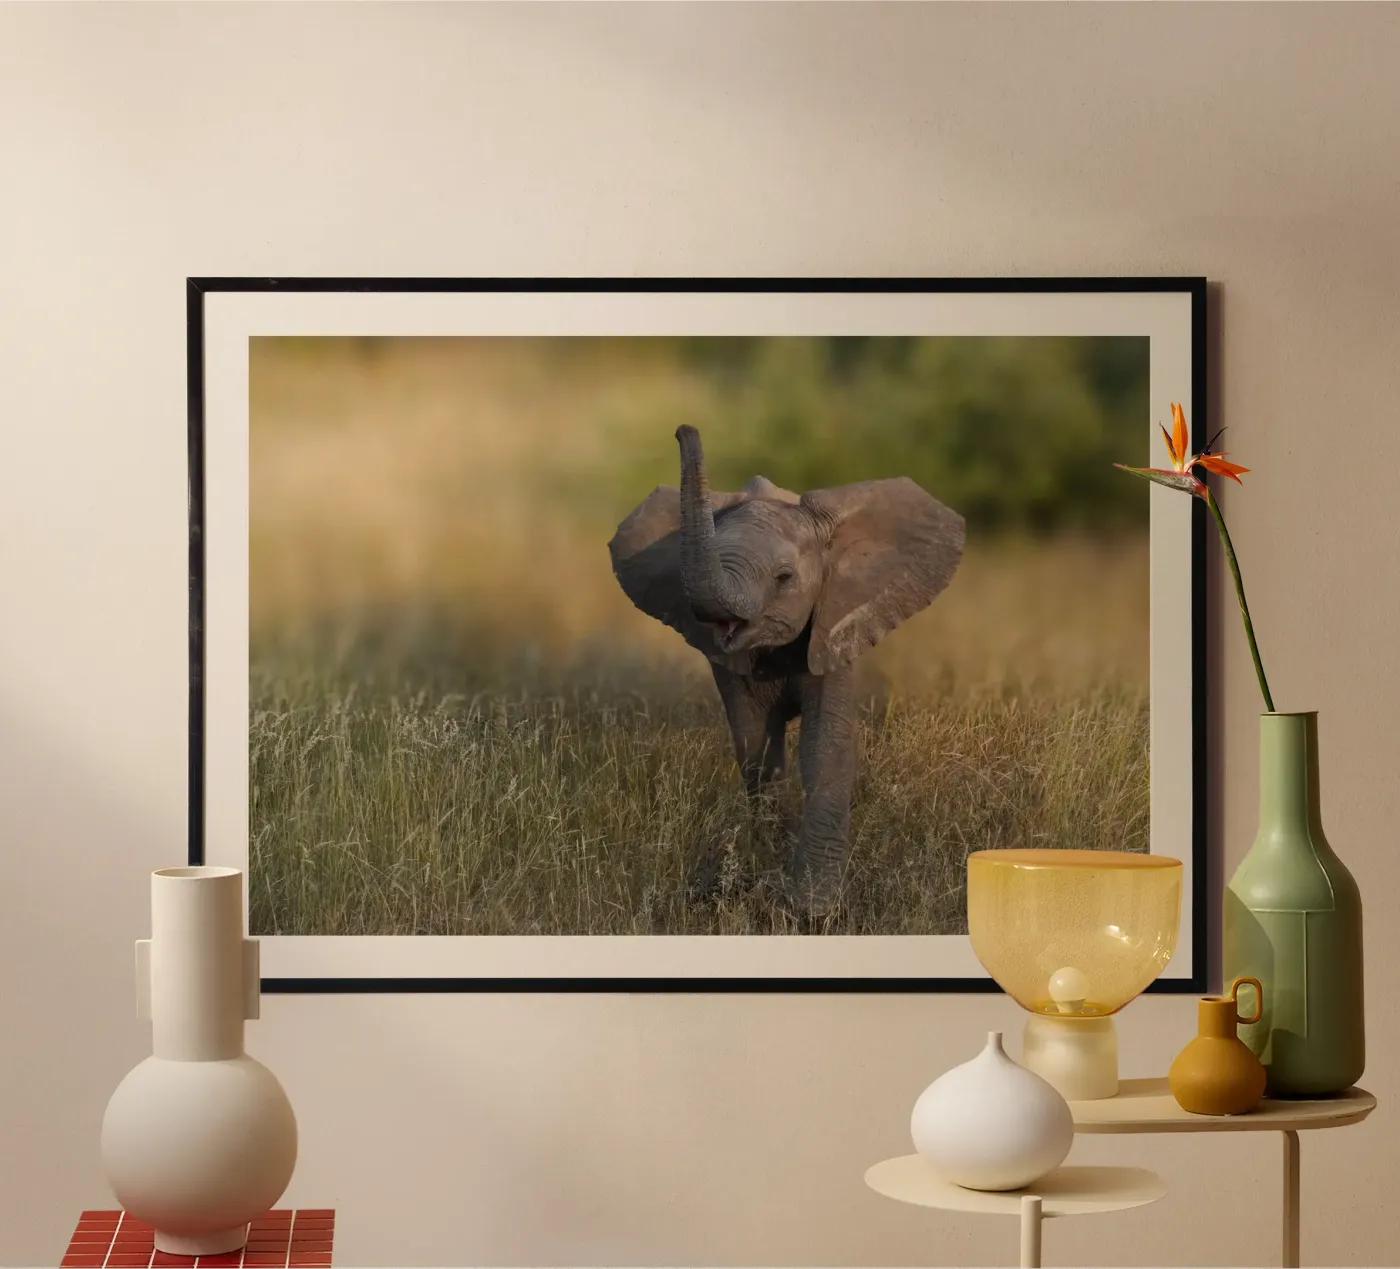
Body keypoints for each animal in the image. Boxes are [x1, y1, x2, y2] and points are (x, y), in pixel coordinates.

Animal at [607, 424, 966, 914]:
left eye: (784, 578)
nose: (683, 429)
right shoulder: (729, 662)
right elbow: (755, 747)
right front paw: (772, 872)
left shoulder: (834, 627)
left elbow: (824, 745)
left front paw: (812, 906)